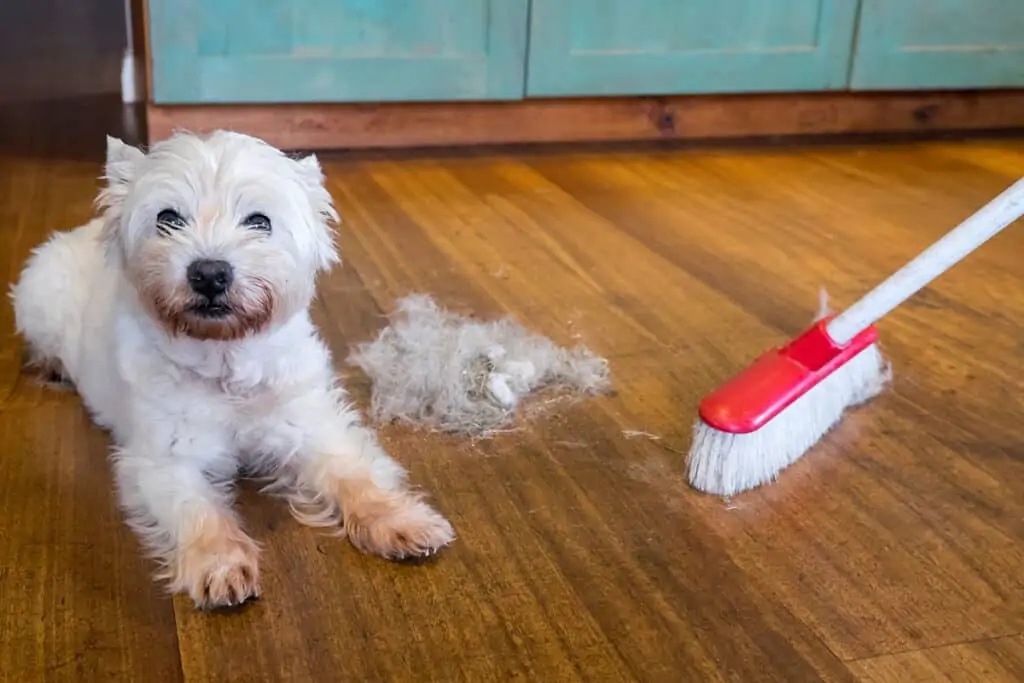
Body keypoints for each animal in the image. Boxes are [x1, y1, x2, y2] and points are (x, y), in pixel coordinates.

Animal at [11, 131, 456, 610]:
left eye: (259, 221)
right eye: (168, 218)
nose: (209, 273)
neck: (226, 364)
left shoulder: (311, 427)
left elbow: (354, 475)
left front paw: (401, 521)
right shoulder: (164, 460)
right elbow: (199, 511)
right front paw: (220, 566)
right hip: (37, 302)